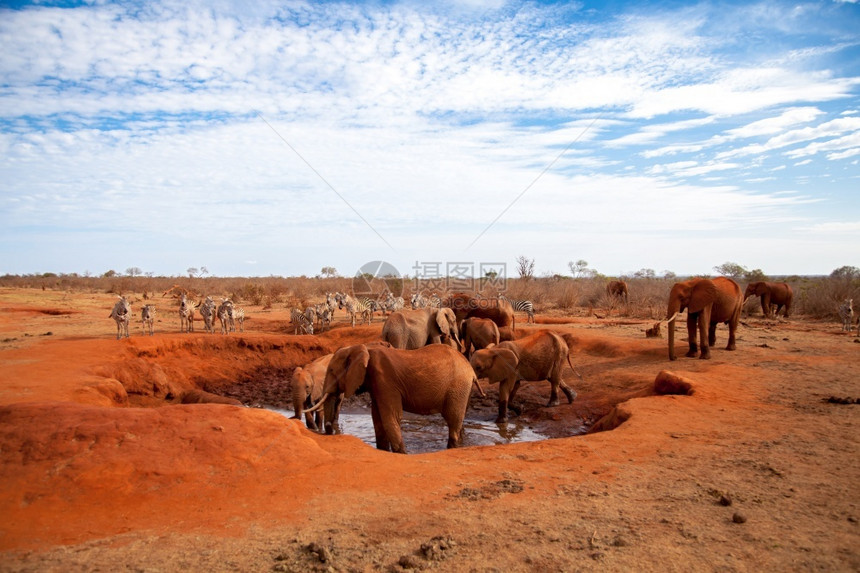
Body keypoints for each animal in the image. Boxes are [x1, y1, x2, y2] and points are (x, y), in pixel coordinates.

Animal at [308, 342, 484, 454]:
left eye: (331, 371)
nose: (329, 432)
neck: (360, 347)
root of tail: (470, 369)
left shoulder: (385, 380)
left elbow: (390, 417)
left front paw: (401, 454)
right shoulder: (376, 384)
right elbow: (377, 418)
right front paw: (383, 450)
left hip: (457, 386)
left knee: (453, 421)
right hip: (463, 389)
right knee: (459, 421)